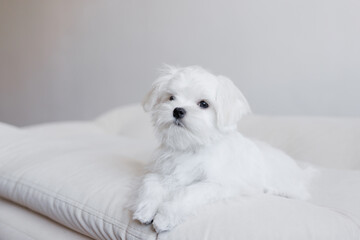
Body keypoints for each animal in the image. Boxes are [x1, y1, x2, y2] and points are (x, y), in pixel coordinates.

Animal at [130, 65, 312, 232]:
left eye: (204, 104)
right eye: (171, 98)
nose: (178, 110)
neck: (191, 147)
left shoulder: (217, 184)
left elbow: (188, 193)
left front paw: (165, 217)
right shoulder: (160, 171)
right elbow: (151, 183)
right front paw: (146, 209)